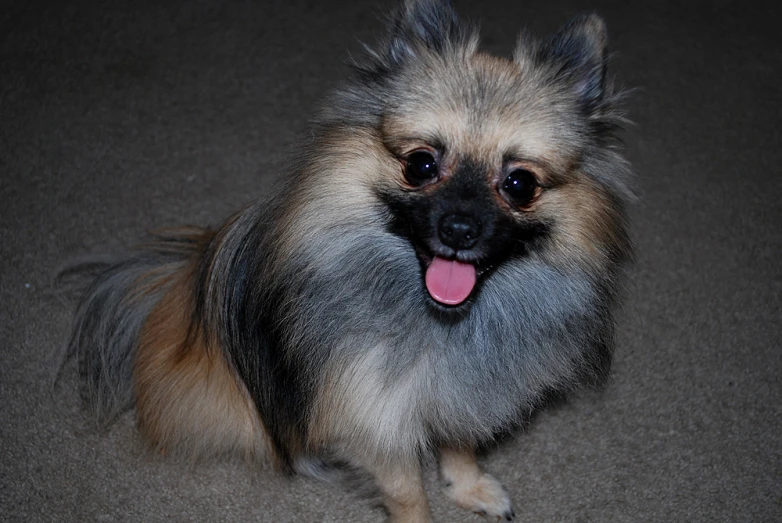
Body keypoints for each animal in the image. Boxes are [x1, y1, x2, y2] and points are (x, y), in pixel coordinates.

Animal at [64, 1, 632, 520]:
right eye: (421, 164)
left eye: (519, 184)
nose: (459, 228)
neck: (440, 322)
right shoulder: (373, 418)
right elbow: (407, 493)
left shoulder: (461, 390)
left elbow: (459, 443)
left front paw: (470, 487)